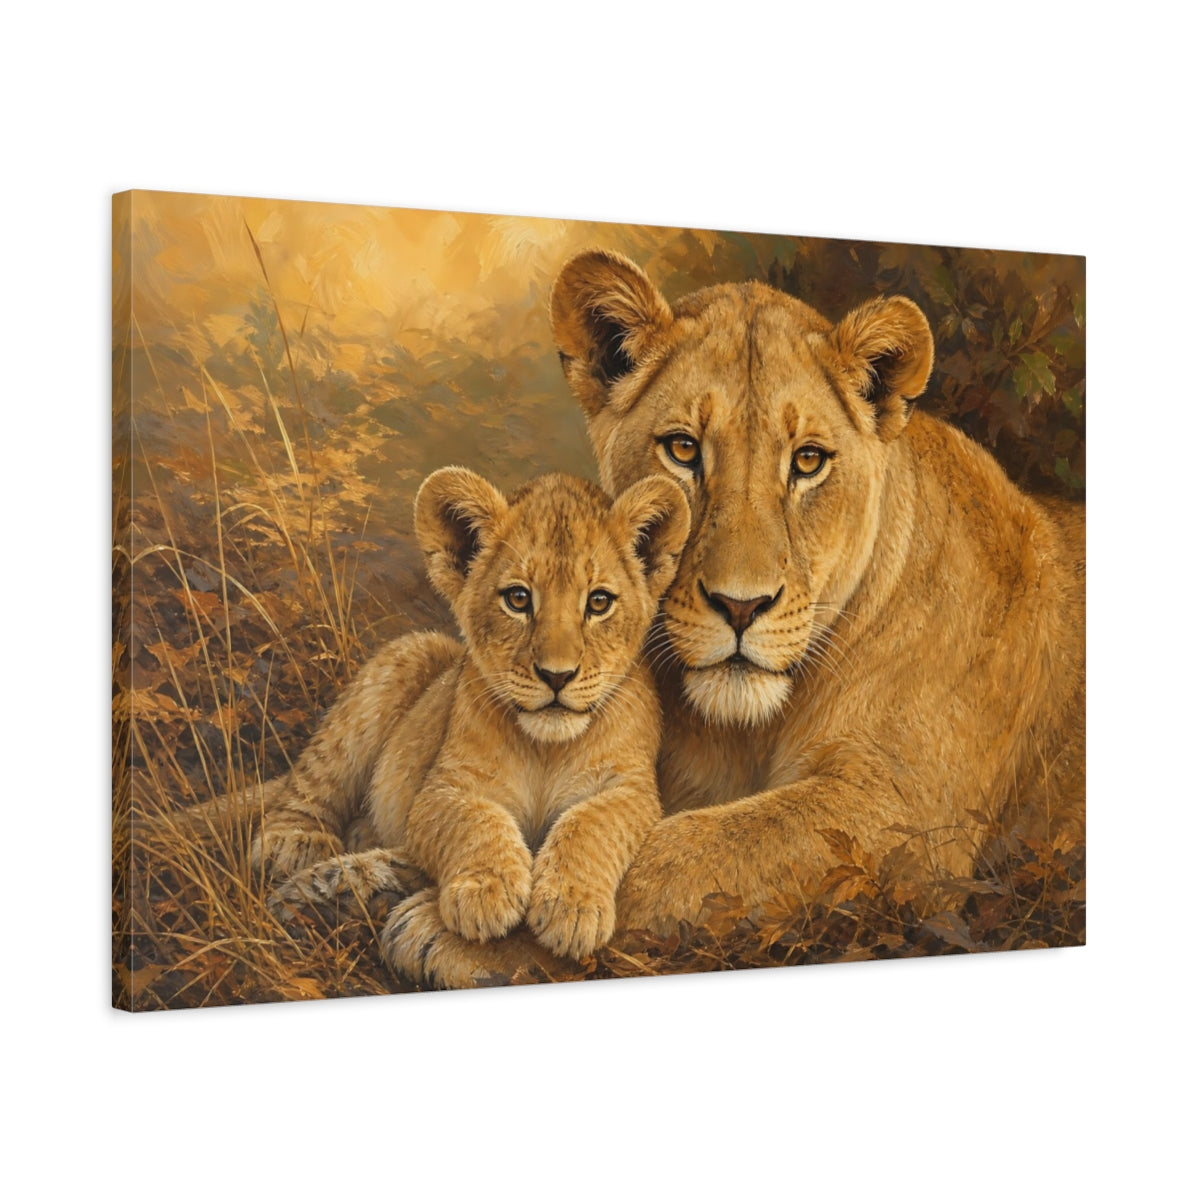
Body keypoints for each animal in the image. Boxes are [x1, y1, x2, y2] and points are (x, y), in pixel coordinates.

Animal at [255, 466, 690, 984]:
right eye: (518, 598)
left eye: (599, 602)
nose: (557, 676)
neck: (546, 749)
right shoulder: (442, 787)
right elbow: (476, 819)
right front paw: (487, 893)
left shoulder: (632, 788)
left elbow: (592, 821)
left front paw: (571, 907)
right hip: (407, 656)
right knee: (318, 772)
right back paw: (294, 844)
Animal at [542, 249, 1086, 937]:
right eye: (683, 449)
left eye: (807, 461)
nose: (741, 607)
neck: (747, 735)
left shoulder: (909, 821)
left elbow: (687, 856)